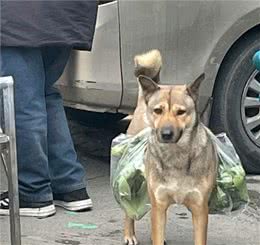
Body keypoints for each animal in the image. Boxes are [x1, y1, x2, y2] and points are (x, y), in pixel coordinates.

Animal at [125, 50, 218, 245]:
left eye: (181, 112)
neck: (176, 155)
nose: (166, 133)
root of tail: (143, 100)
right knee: (128, 210)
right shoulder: (159, 202)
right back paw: (129, 234)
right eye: (158, 110)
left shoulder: (200, 209)